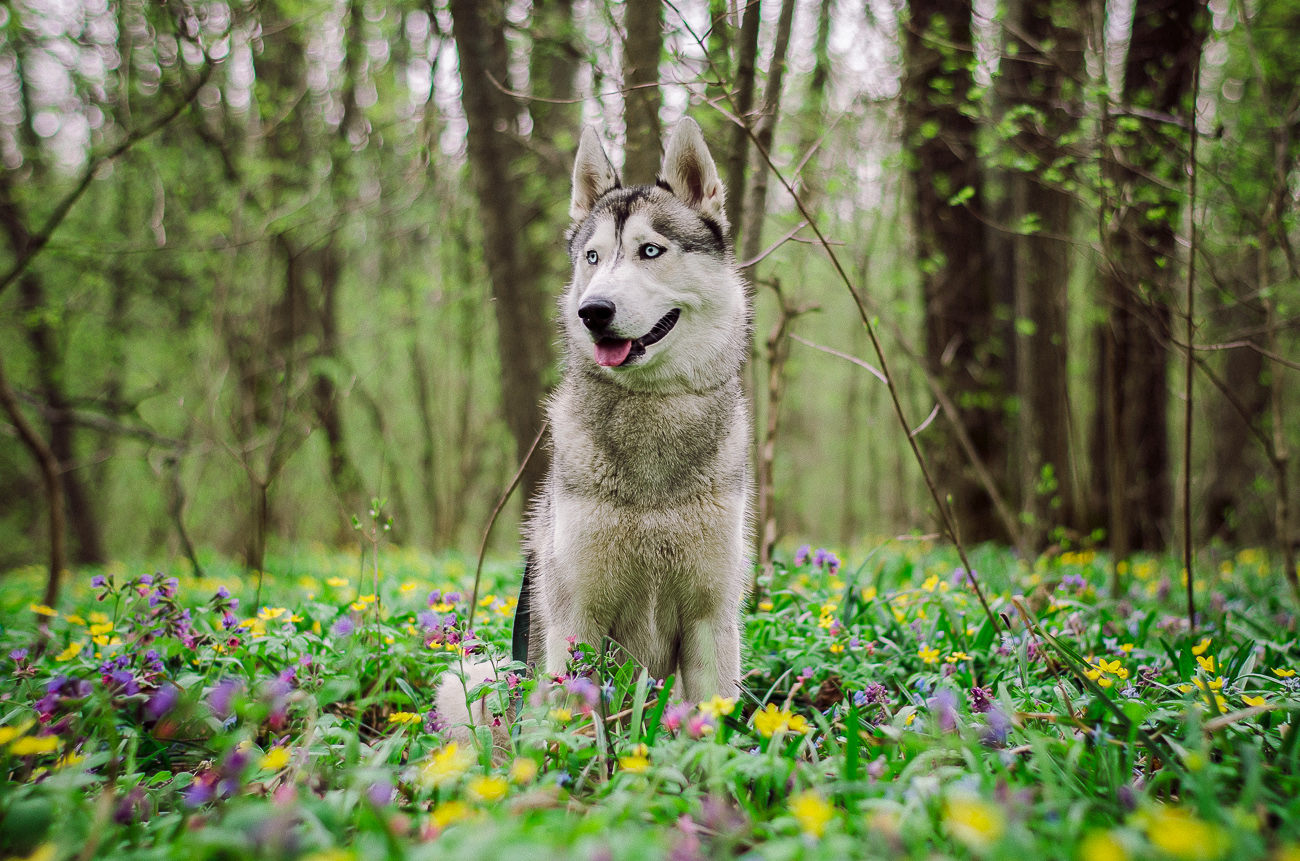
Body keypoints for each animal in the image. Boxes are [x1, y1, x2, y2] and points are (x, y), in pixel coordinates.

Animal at [441, 116, 754, 728]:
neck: (654, 407)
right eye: (592, 256)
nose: (593, 311)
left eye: (650, 250)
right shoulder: (576, 619)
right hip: (479, 677)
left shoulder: (711, 619)